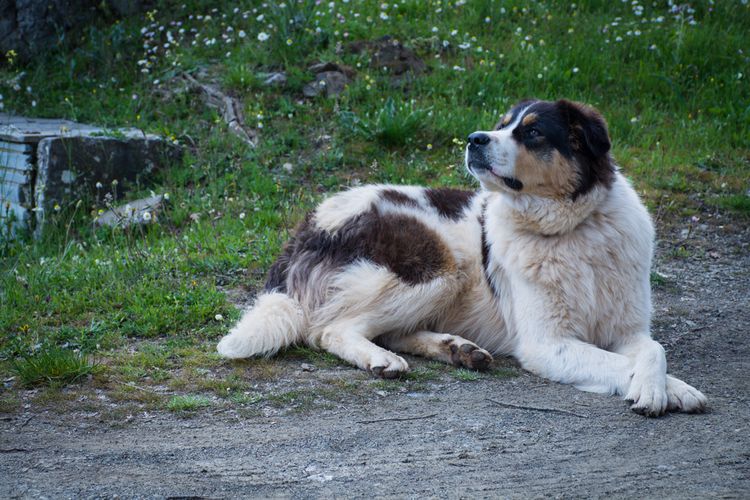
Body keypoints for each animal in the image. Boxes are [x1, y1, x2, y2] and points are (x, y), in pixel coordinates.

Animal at [216, 99, 704, 416]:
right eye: (502, 123)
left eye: (532, 131)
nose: (474, 138)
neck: (572, 229)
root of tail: (309, 223)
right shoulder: (548, 344)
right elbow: (617, 363)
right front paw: (665, 391)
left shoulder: (627, 329)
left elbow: (651, 349)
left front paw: (666, 388)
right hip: (437, 268)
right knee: (330, 329)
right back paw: (382, 361)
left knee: (389, 331)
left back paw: (458, 350)